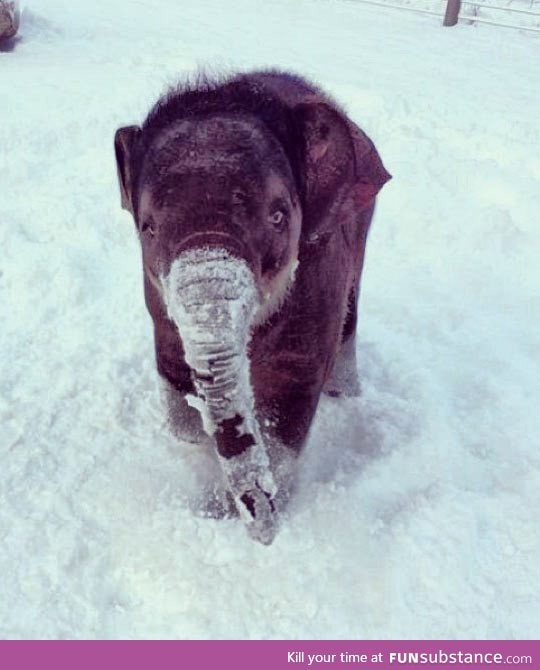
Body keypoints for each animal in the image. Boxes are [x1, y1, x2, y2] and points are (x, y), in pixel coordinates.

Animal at [115, 69, 388, 544]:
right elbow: (172, 370)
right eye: (148, 227)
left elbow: (289, 403)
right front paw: (195, 439)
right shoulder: (155, 299)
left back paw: (345, 395)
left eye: (278, 216)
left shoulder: (319, 275)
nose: (265, 536)